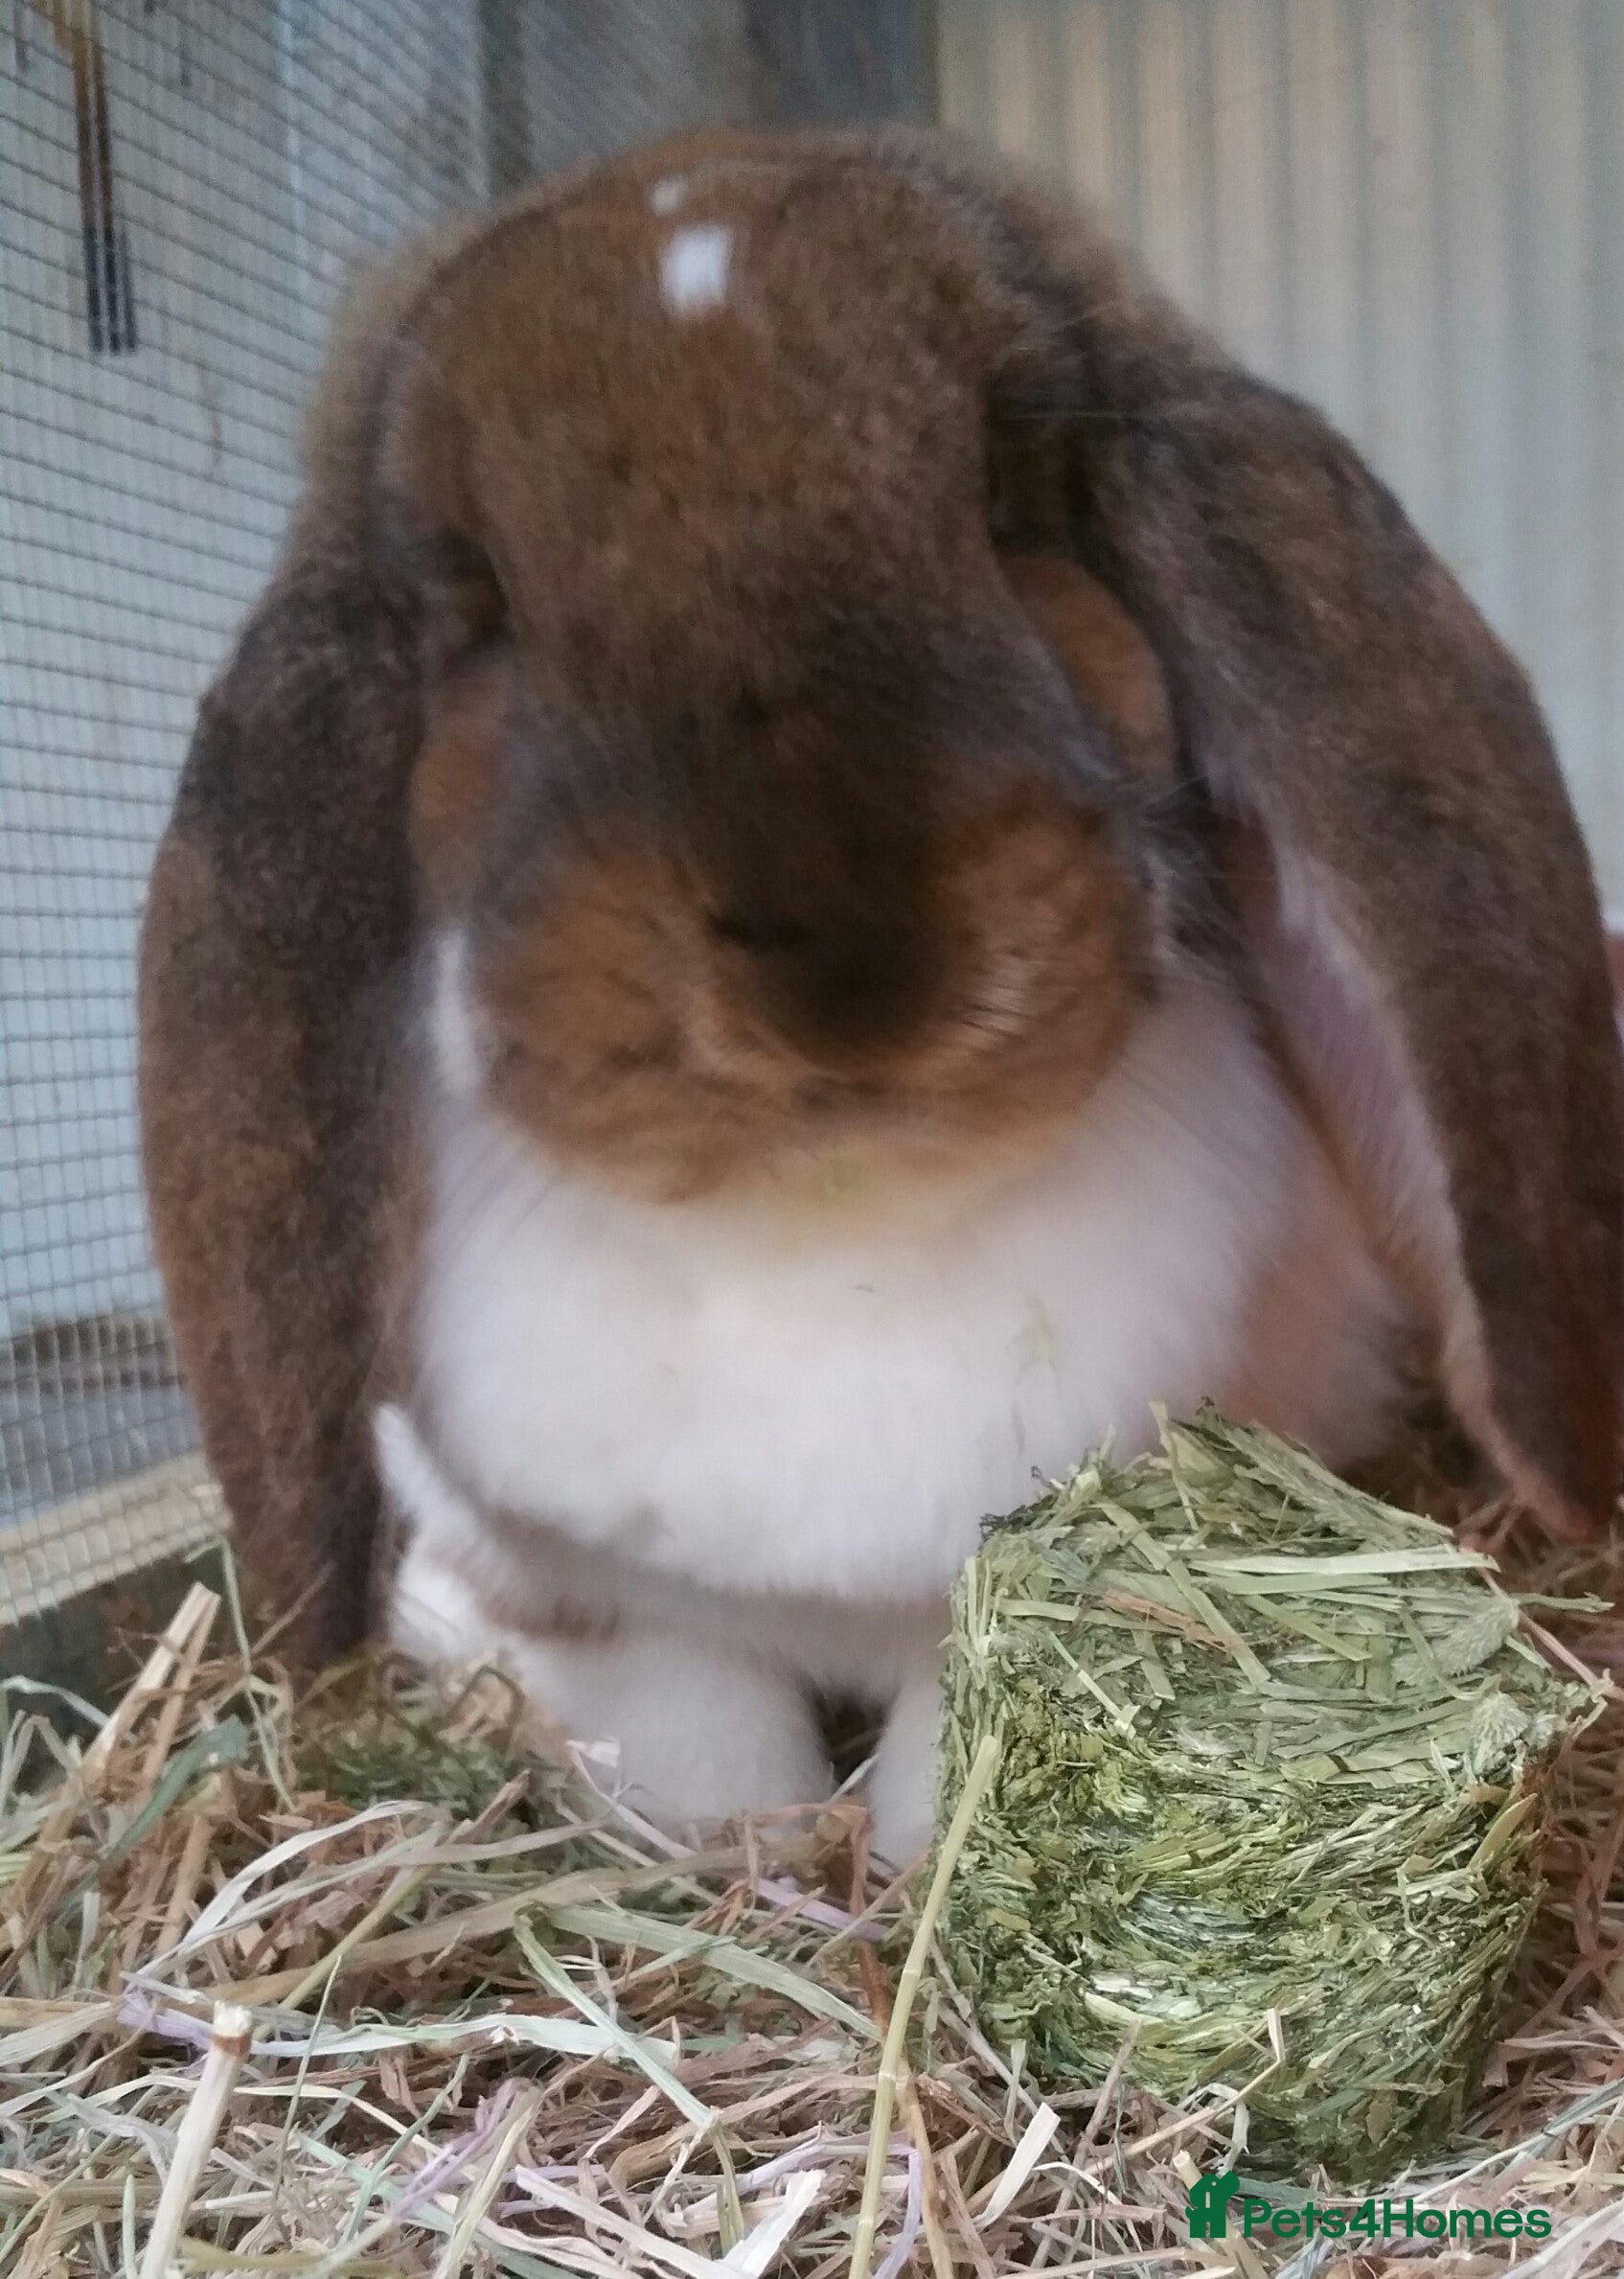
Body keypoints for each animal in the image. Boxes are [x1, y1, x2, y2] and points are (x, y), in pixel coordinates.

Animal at [139, 125, 1623, 1866]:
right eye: (476, 593)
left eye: (1007, 495)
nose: (846, 980)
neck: (833, 1231)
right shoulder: (598, 1609)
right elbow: (702, 1748)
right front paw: (742, 1850)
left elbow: (935, 1752)